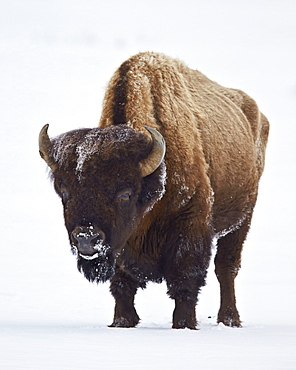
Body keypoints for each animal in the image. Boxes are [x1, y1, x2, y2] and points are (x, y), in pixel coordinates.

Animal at [38, 52, 268, 330]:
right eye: (65, 192)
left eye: (125, 194)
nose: (86, 238)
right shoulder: (121, 245)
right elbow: (122, 284)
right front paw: (122, 321)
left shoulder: (190, 227)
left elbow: (184, 282)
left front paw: (184, 324)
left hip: (241, 220)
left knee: (226, 268)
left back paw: (230, 319)